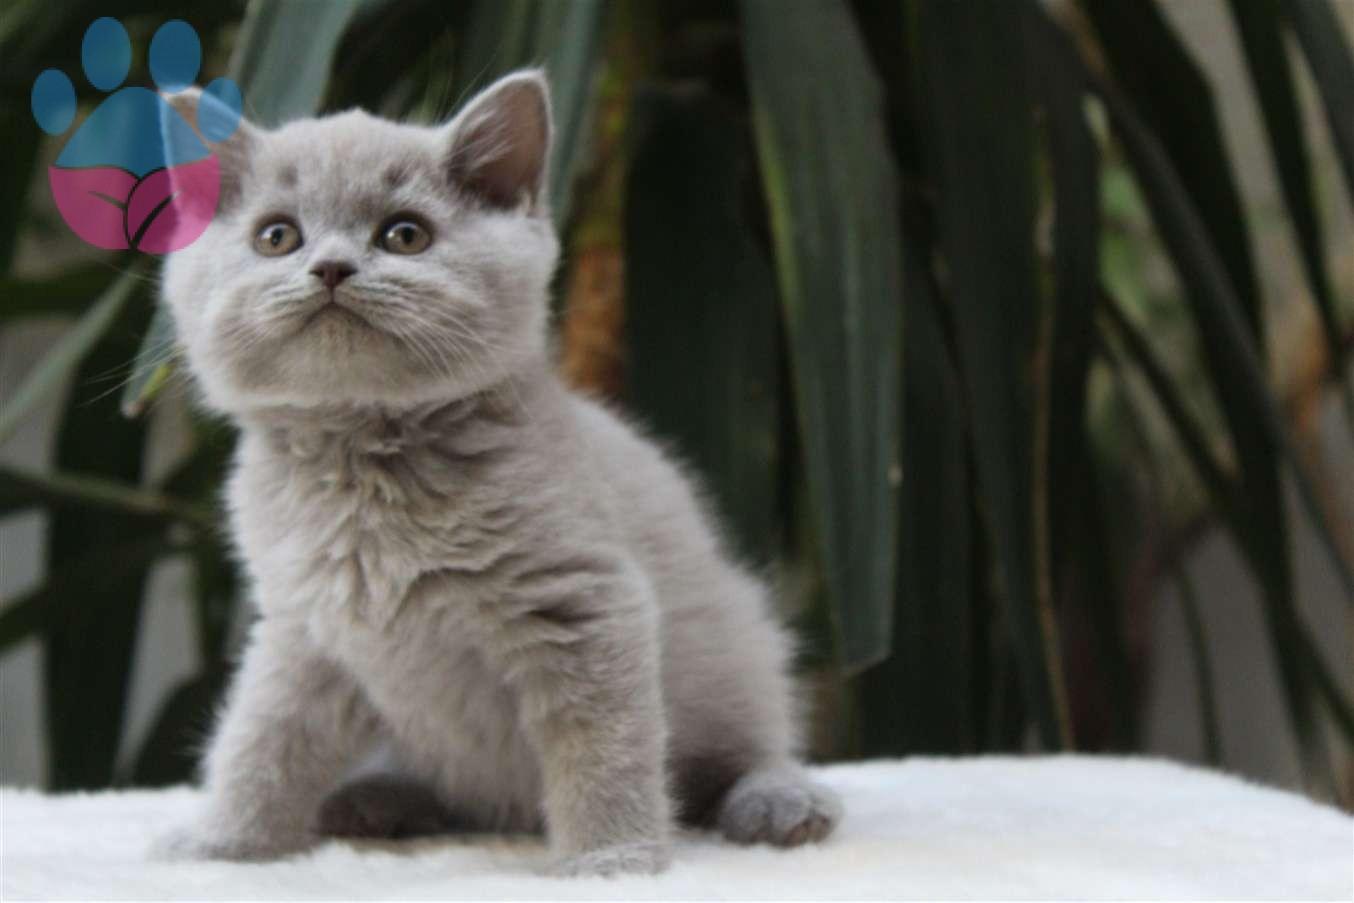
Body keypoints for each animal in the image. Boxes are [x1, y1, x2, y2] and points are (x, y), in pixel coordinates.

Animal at [153, 72, 839, 882]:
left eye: (405, 235)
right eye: (277, 236)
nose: (331, 268)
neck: (366, 458)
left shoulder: (584, 603)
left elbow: (601, 746)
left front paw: (610, 859)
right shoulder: (303, 626)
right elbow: (264, 738)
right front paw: (222, 846)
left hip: (737, 639)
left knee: (747, 748)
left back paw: (781, 803)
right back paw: (376, 800)